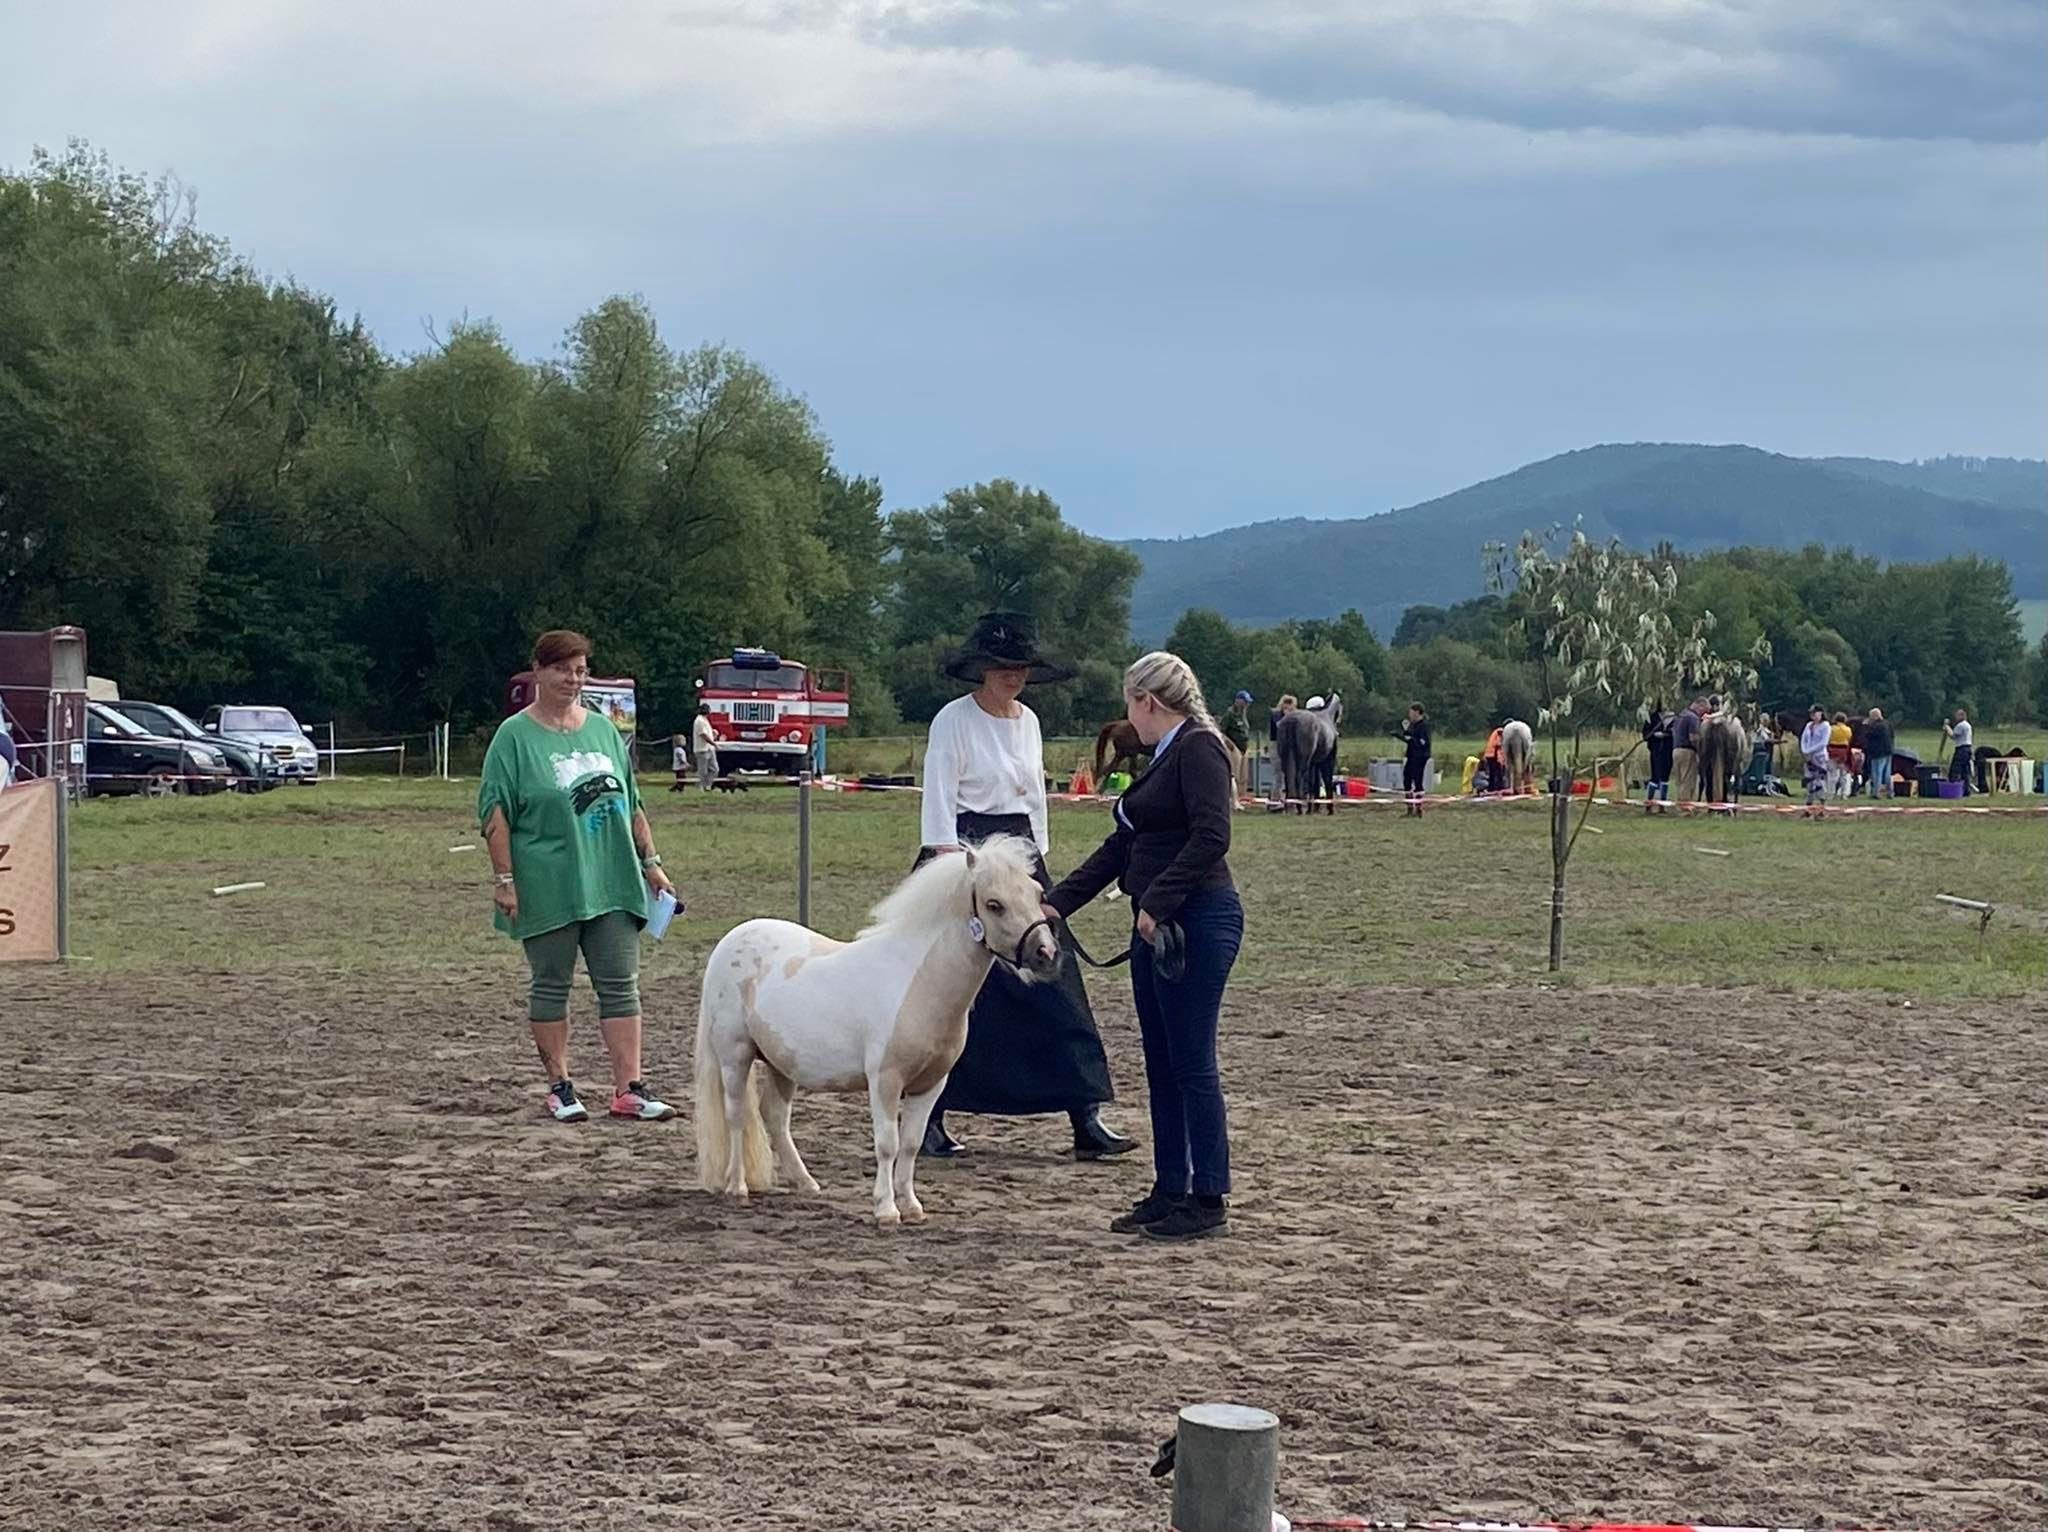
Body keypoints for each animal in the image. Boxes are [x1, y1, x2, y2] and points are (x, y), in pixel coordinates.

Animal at [694, 836, 1059, 1228]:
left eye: (1037, 892)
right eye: (994, 904)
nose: (1046, 953)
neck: (918, 982)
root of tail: (731, 941)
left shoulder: (931, 1084)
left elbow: (911, 1143)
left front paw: (911, 1206)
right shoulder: (885, 1079)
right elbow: (888, 1143)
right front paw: (885, 1209)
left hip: (782, 1063)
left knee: (774, 1116)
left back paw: (806, 1183)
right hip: (735, 1055)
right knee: (736, 1116)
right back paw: (737, 1187)